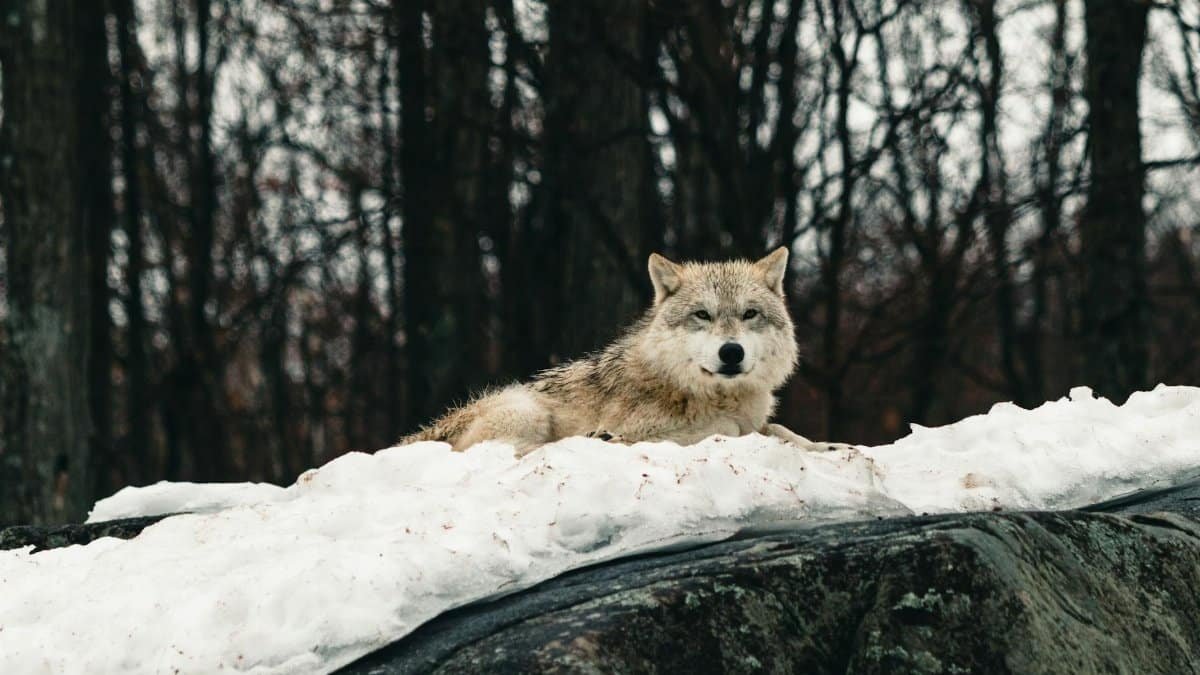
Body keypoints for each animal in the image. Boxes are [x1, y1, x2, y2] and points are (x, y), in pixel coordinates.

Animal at [401, 247, 852, 456]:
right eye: (703, 315)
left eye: (749, 314)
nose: (731, 353)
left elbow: (781, 430)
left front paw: (829, 448)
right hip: (527, 410)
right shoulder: (662, 428)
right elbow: (726, 429)